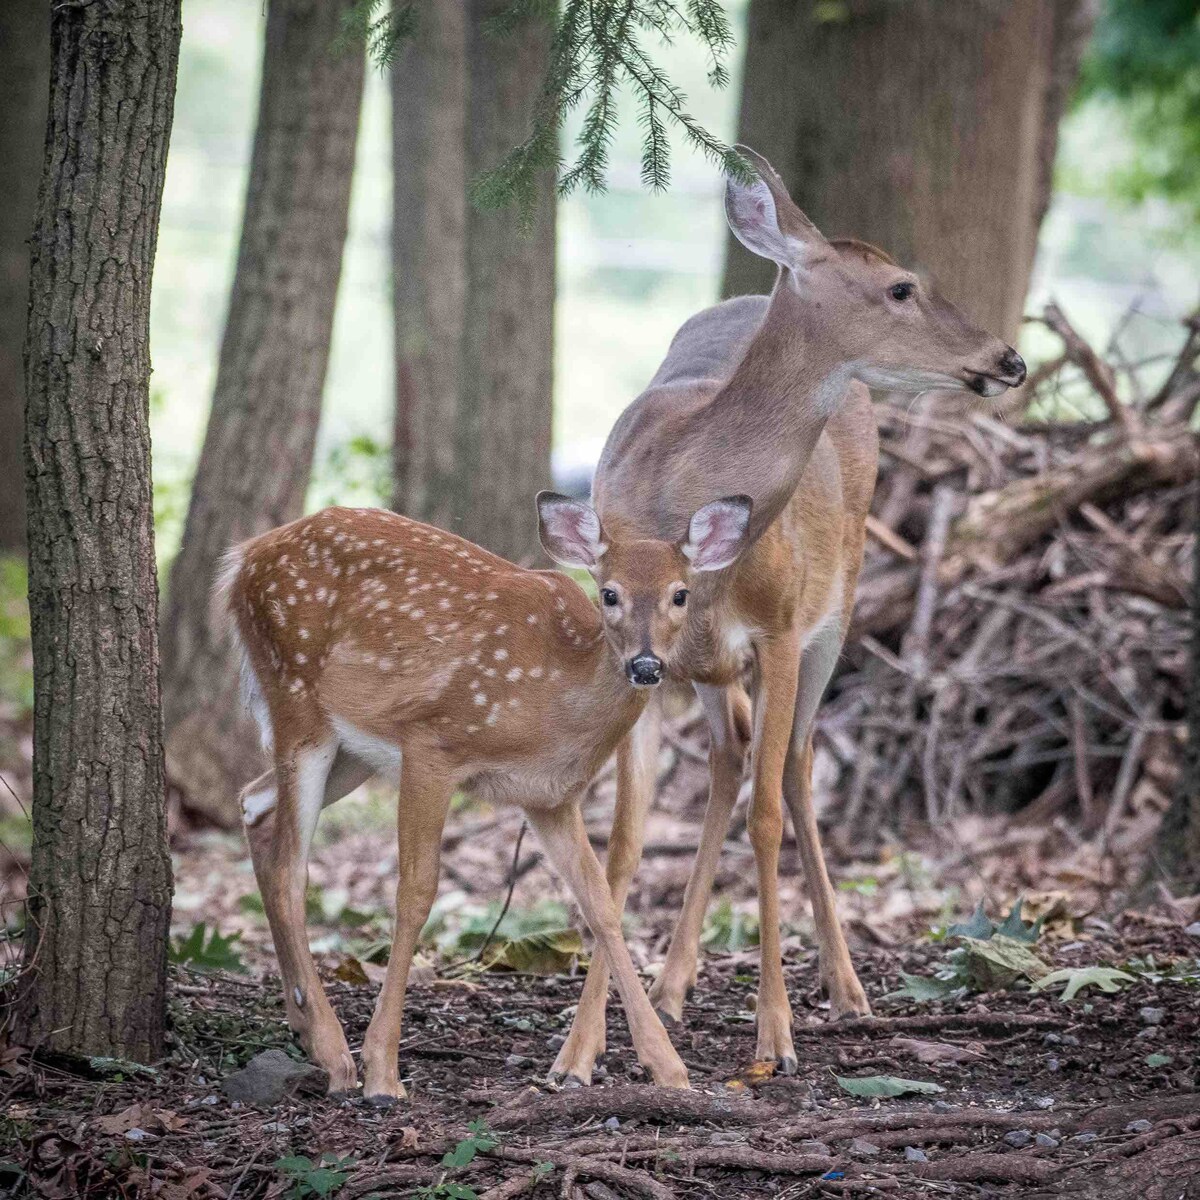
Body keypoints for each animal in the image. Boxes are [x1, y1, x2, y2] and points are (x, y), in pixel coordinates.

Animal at [210, 499, 744, 1104]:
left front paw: (665, 1066)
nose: (646, 665)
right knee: (288, 868)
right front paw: (383, 1072)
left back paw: (303, 1024)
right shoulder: (431, 744)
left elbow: (600, 904)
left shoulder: (549, 798)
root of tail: (243, 558)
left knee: (254, 805)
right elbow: (417, 893)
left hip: (351, 748)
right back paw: (335, 1053)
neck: (554, 696)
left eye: (681, 594)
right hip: (297, 697)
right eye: (609, 593)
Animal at [549, 145, 1022, 1084]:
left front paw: (774, 1033)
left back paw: (846, 986)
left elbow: (768, 816)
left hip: (835, 611)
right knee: (731, 759)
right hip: (713, 667)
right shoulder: (640, 656)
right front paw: (579, 1051)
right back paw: (673, 983)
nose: (1010, 357)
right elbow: (621, 845)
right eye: (902, 286)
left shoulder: (778, 630)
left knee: (795, 771)